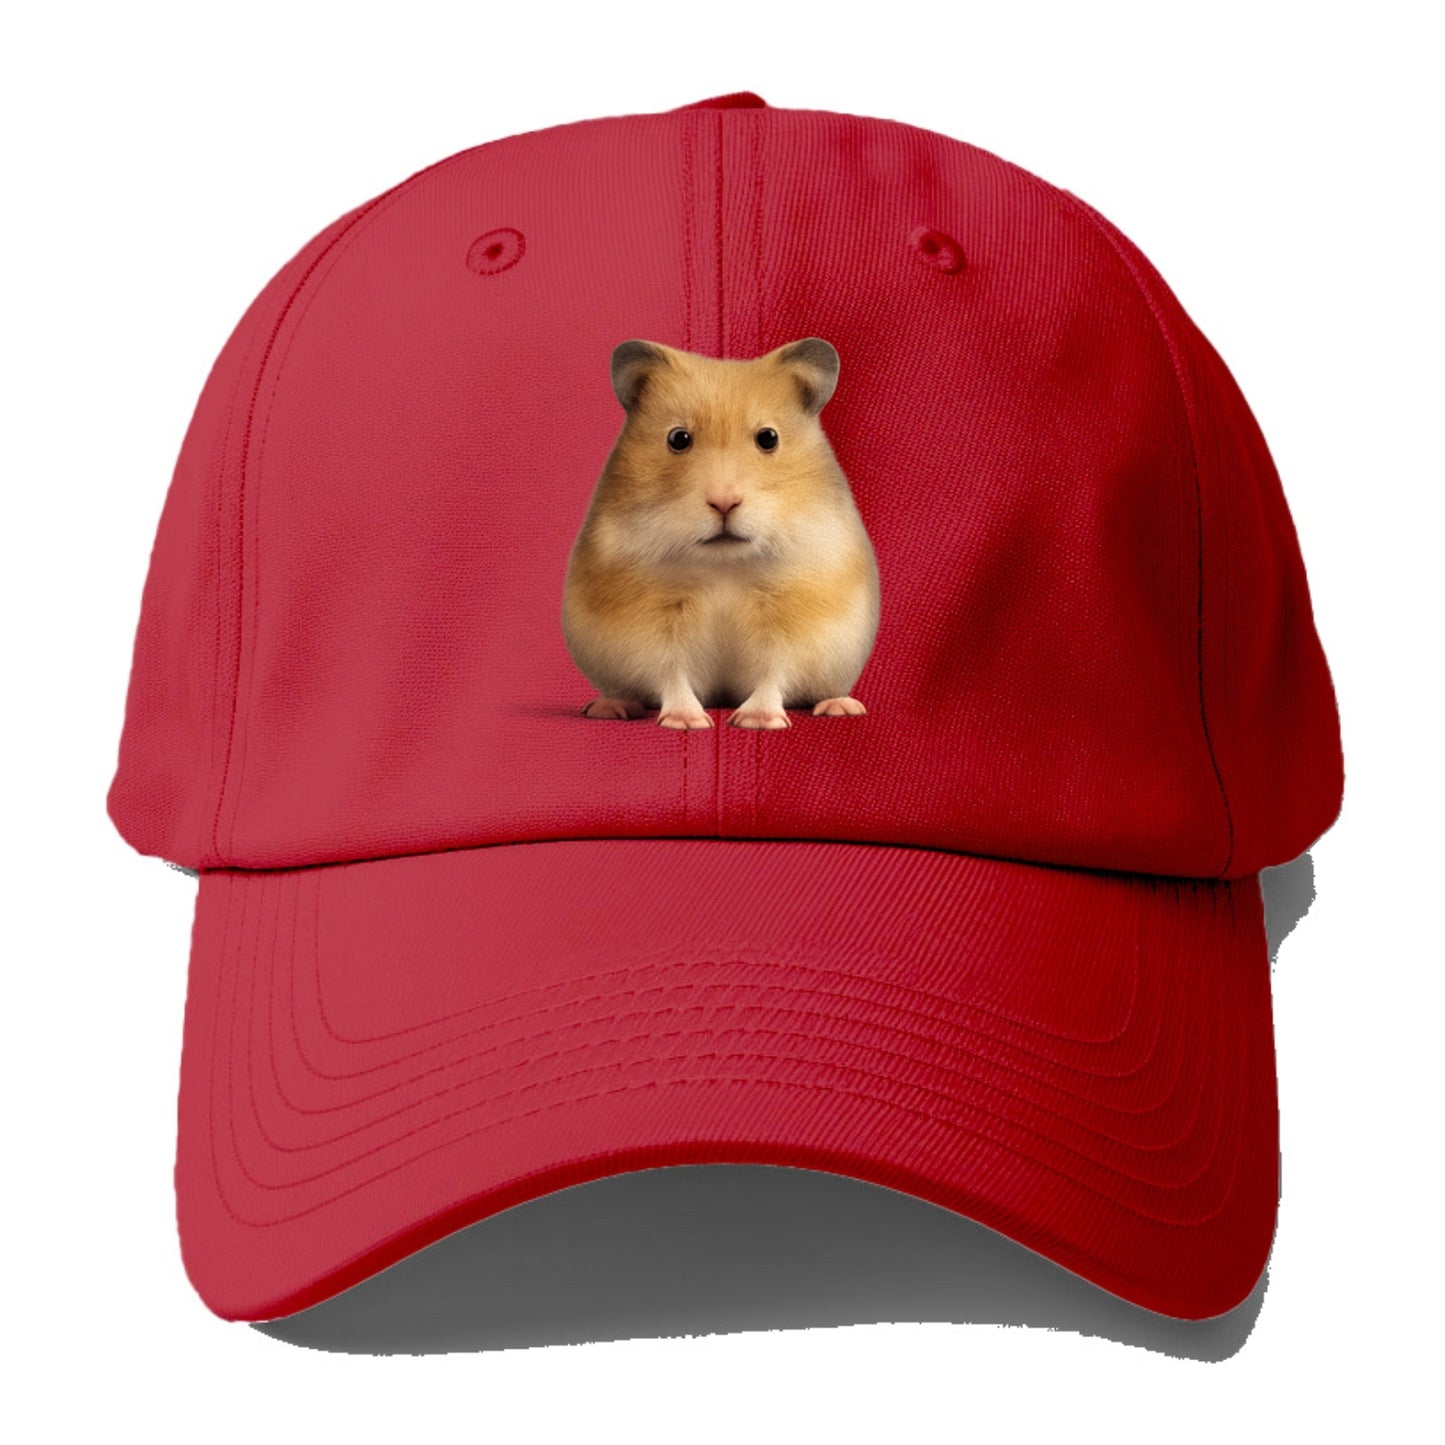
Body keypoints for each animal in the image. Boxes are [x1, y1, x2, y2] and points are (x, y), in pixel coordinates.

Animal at [561, 336, 880, 730]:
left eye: (768, 438)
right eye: (678, 438)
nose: (724, 503)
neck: (723, 564)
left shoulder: (791, 621)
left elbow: (773, 671)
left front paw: (756, 721)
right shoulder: (652, 628)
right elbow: (671, 672)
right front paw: (687, 721)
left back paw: (842, 706)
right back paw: (609, 707)